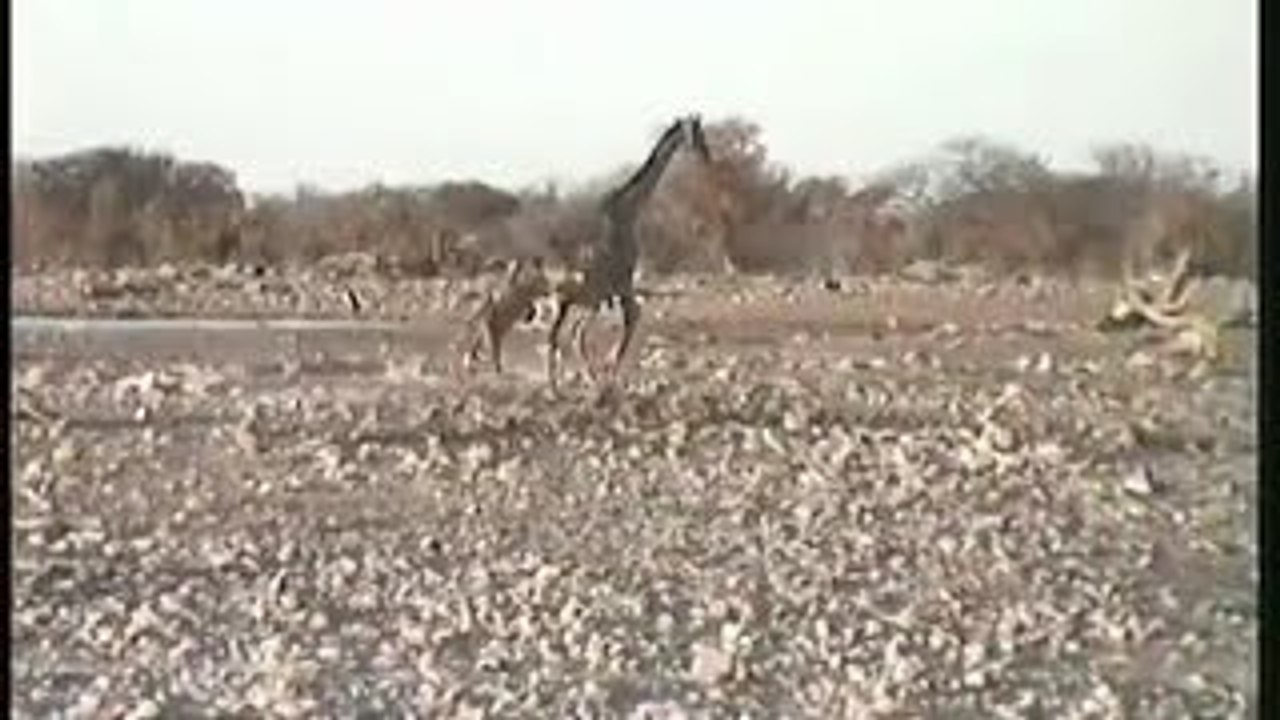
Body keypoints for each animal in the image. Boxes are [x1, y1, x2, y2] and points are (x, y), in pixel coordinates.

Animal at [547, 114, 713, 389]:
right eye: (696, 132)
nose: (706, 155)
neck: (629, 212)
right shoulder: (624, 279)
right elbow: (634, 316)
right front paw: (611, 366)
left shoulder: (619, 284)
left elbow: (633, 317)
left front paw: (609, 369)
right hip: (580, 298)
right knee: (565, 334)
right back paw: (563, 382)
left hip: (586, 300)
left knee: (569, 333)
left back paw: (577, 378)